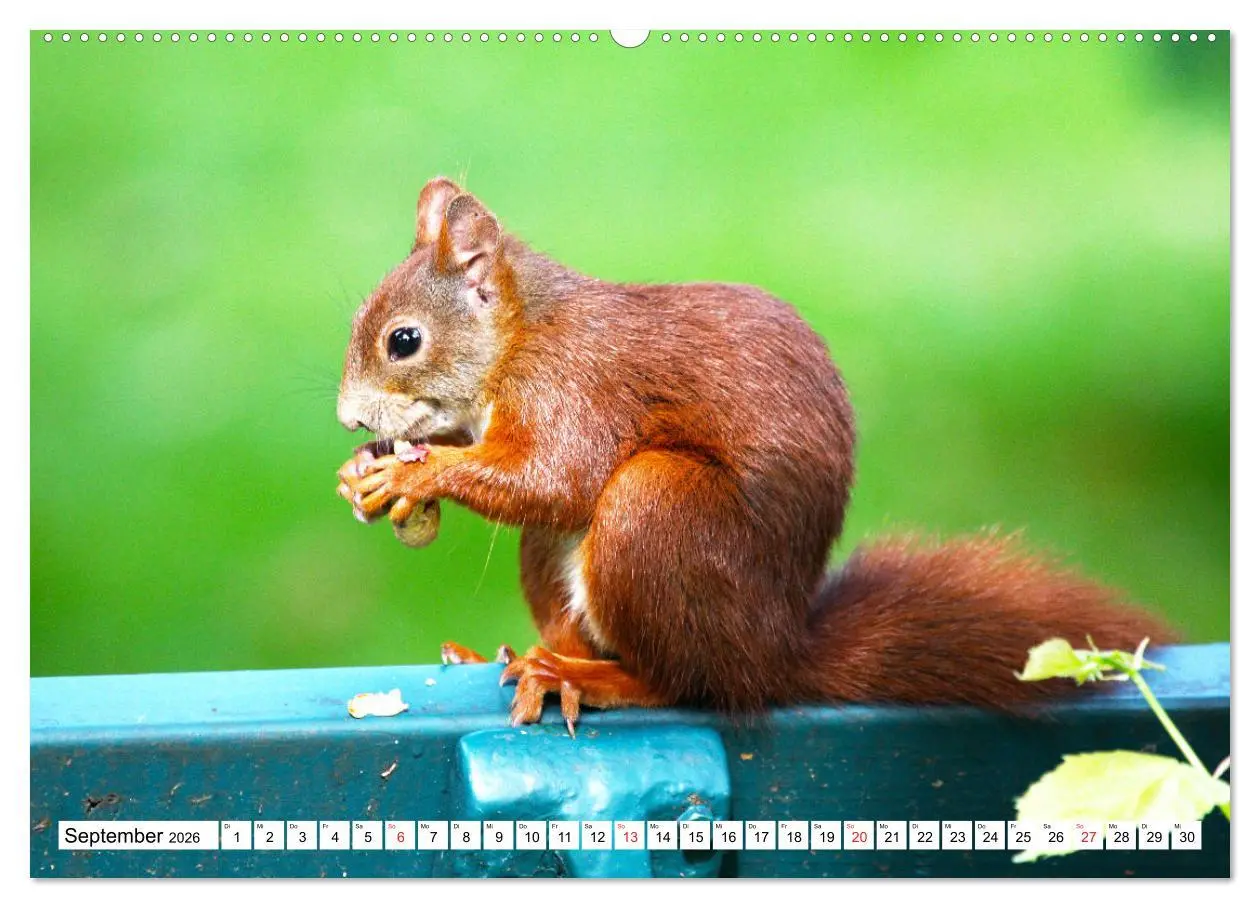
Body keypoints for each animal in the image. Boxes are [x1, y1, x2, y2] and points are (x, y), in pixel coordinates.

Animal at [336, 176, 1175, 734]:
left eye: (403, 340)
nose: (347, 417)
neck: (519, 335)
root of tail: (774, 653)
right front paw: (364, 471)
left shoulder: (574, 386)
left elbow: (556, 479)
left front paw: (415, 470)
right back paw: (521, 655)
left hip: (656, 509)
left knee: (691, 686)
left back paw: (584, 675)